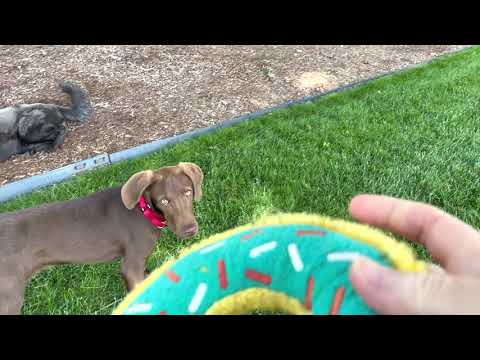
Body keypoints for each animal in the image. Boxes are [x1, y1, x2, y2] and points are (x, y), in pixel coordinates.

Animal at [0, 162, 204, 314]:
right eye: (164, 201)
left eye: (188, 192)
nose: (190, 230)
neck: (143, 210)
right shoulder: (131, 266)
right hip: (9, 296)